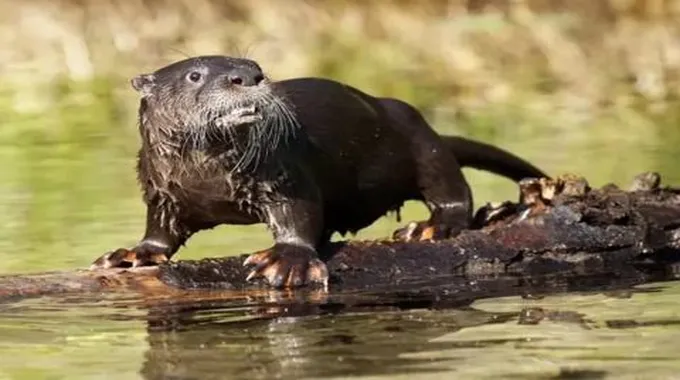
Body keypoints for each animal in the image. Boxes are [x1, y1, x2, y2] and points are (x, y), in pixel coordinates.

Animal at [89, 55, 548, 288]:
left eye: (254, 65)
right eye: (195, 75)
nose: (247, 77)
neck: (207, 180)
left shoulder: (283, 174)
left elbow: (299, 214)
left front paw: (287, 261)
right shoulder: (161, 190)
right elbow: (160, 229)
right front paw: (133, 253)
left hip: (418, 135)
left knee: (450, 186)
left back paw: (434, 227)